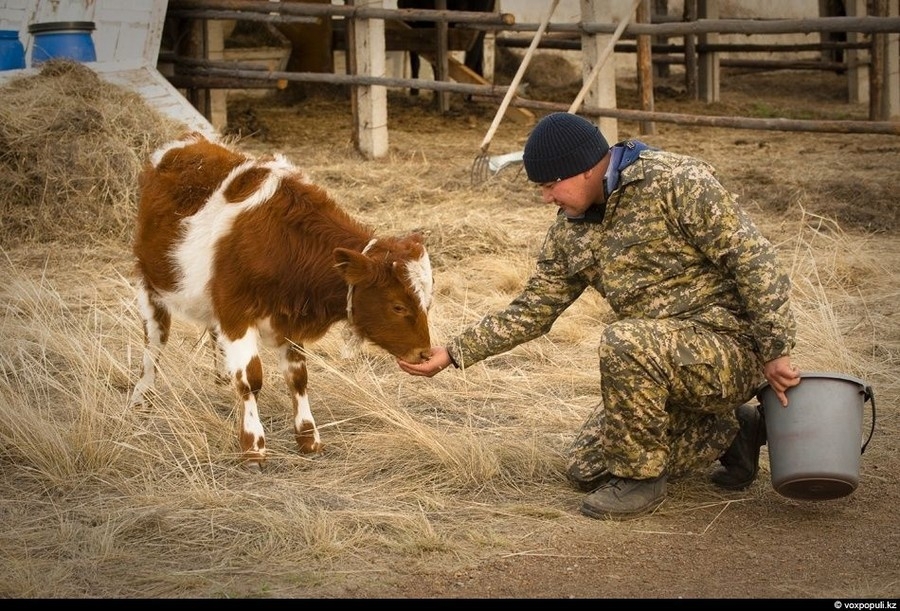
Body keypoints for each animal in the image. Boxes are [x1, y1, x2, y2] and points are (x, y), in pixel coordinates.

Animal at [129, 134, 432, 468]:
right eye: (398, 306)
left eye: (427, 303)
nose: (425, 353)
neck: (282, 245)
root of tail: (188, 141)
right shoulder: (236, 314)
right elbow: (250, 379)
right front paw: (253, 447)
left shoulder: (289, 319)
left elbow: (298, 377)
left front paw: (308, 438)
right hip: (149, 284)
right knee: (154, 343)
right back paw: (142, 397)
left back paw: (219, 379)